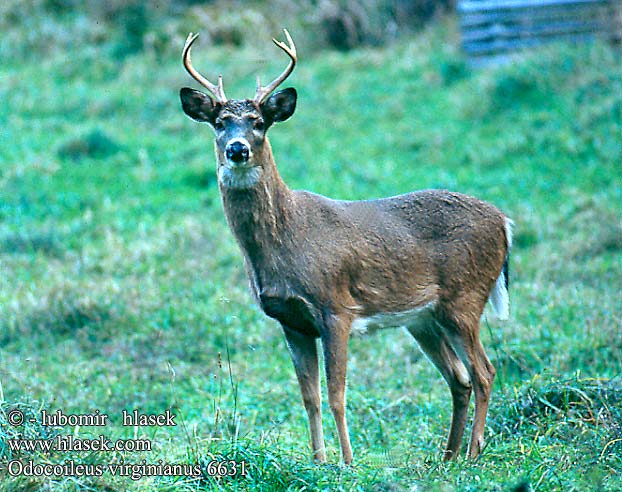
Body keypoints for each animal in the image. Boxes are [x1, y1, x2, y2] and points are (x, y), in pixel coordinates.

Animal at [179, 30, 512, 466]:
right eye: (219, 123)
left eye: (259, 123)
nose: (238, 149)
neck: (286, 239)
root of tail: (504, 222)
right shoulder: (291, 320)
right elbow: (310, 397)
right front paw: (318, 460)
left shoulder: (335, 307)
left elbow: (337, 394)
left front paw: (348, 462)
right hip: (424, 318)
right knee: (459, 378)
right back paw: (447, 456)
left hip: (465, 297)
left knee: (484, 372)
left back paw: (473, 453)